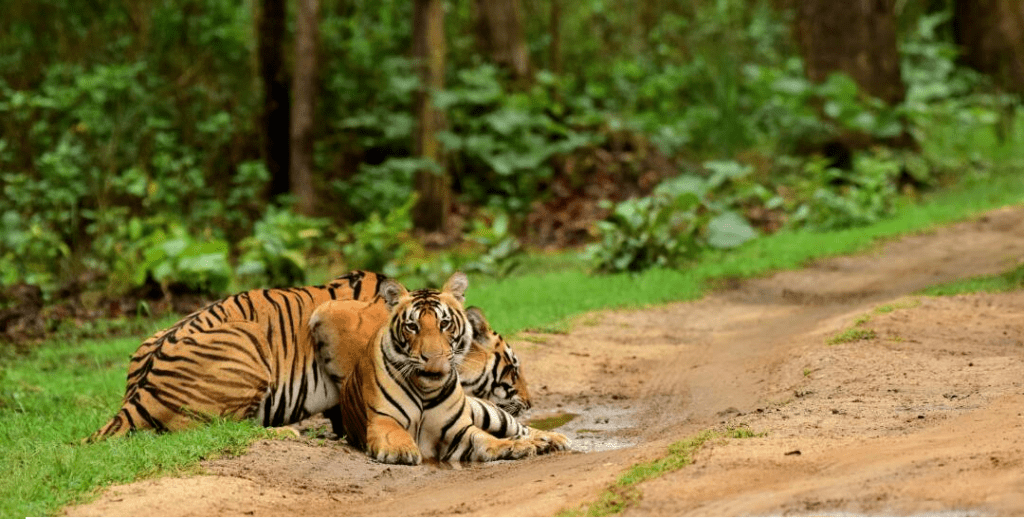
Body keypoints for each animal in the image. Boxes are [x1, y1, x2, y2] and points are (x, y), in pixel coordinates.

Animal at [311, 274, 569, 464]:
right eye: (411, 326)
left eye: (444, 323)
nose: (434, 359)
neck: (426, 390)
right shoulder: (383, 419)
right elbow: (394, 434)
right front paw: (401, 450)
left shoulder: (459, 432)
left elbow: (489, 439)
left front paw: (517, 447)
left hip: (489, 412)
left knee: (520, 428)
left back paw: (552, 439)